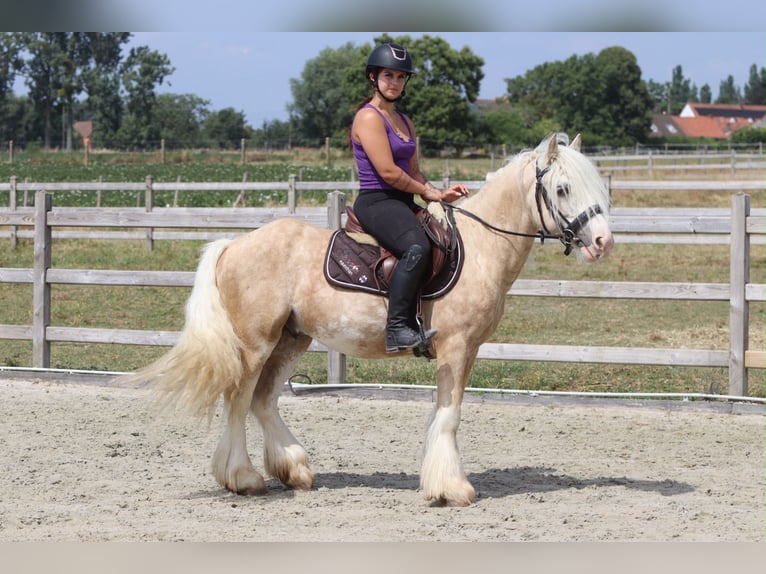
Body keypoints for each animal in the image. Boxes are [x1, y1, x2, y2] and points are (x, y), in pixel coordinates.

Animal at [119, 133, 614, 507]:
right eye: (563, 188)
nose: (603, 243)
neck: (479, 247)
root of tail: (235, 244)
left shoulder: (465, 350)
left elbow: (442, 414)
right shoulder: (455, 347)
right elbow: (450, 416)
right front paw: (452, 489)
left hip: (291, 339)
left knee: (263, 401)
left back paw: (295, 470)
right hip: (255, 343)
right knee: (239, 402)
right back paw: (244, 478)